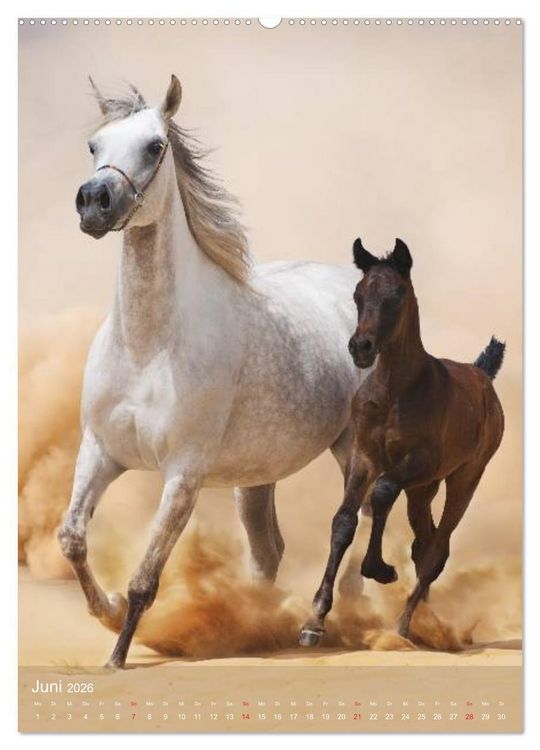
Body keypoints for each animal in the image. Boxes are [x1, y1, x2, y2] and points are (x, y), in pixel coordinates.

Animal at [57, 75, 366, 669]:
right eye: (93, 145)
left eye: (155, 145)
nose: (94, 204)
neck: (148, 347)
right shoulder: (100, 452)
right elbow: (73, 539)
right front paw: (105, 612)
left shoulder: (184, 475)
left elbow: (145, 578)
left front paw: (117, 657)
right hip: (257, 475)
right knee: (268, 551)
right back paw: (258, 629)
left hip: (353, 450)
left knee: (352, 528)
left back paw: (321, 625)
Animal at [299, 238, 505, 647]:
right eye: (358, 293)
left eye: (397, 293)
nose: (361, 347)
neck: (395, 390)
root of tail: (482, 374)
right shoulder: (363, 456)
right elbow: (343, 521)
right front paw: (314, 620)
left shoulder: (418, 461)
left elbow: (381, 492)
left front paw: (379, 569)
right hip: (423, 490)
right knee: (423, 543)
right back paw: (424, 618)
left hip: (464, 478)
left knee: (437, 549)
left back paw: (404, 625)